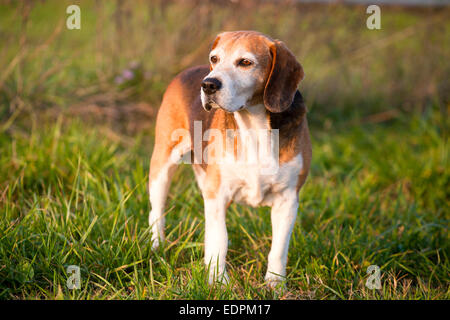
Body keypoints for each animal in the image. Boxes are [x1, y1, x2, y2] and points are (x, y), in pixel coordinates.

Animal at [149, 31, 312, 286]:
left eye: (245, 62)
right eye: (214, 58)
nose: (208, 84)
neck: (253, 126)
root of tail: (188, 71)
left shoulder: (287, 199)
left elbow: (278, 249)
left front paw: (275, 284)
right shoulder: (218, 194)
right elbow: (220, 239)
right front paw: (218, 281)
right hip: (162, 166)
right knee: (156, 211)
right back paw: (158, 245)